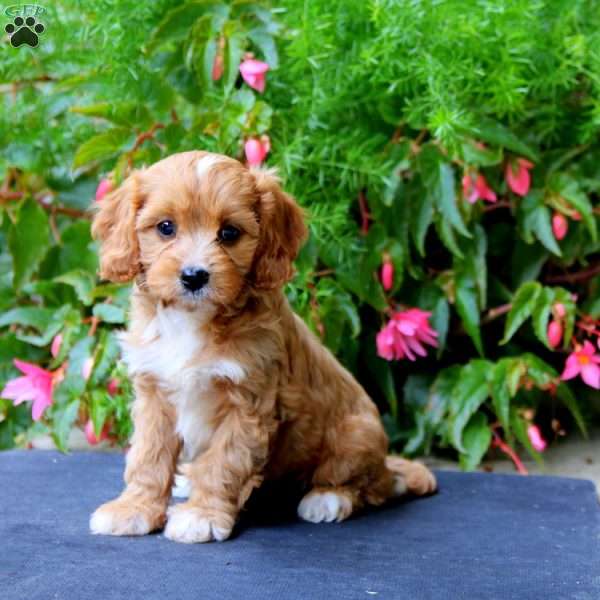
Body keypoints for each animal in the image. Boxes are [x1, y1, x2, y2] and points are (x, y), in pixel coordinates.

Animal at [89, 151, 436, 544]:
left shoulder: (247, 402)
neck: (193, 321)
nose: (194, 276)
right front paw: (134, 509)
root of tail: (386, 464)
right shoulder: (154, 393)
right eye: (165, 227)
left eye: (229, 233)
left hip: (356, 435)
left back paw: (327, 499)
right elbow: (148, 456)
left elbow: (222, 462)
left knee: (364, 485)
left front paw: (201, 515)